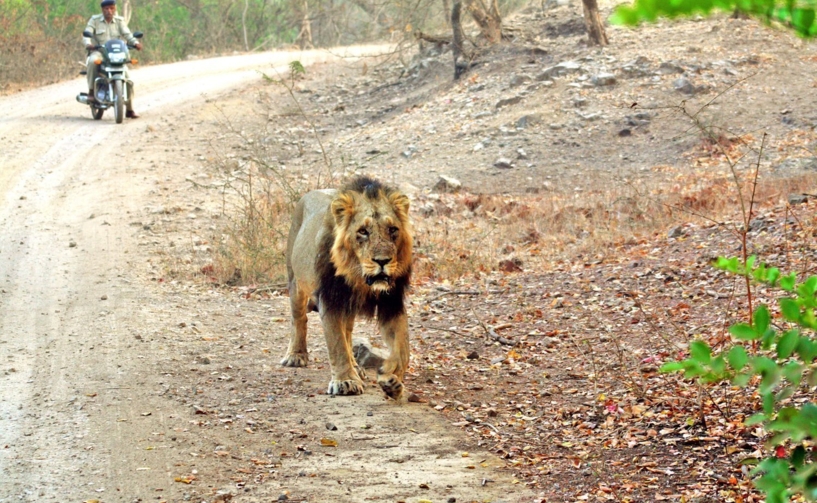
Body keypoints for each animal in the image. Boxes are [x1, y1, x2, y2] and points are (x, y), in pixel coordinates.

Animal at [284, 177, 414, 402]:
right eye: (363, 231)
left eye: (393, 230)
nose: (383, 261)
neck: (360, 278)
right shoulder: (330, 299)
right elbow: (337, 344)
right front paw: (346, 382)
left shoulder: (392, 302)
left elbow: (402, 347)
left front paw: (391, 380)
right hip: (296, 282)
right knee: (299, 318)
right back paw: (296, 356)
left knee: (348, 332)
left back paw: (357, 368)